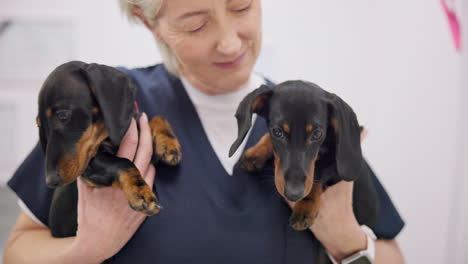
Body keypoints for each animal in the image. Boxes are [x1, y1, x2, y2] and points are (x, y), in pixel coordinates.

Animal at [37, 61, 181, 237]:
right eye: (39, 124)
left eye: (63, 115)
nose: (51, 181)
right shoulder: (89, 171)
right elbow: (122, 162)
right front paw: (140, 192)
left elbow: (157, 117)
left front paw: (168, 145)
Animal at [229, 80, 378, 231]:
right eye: (277, 132)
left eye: (317, 134)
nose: (293, 194)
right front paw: (256, 153)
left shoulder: (336, 168)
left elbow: (320, 172)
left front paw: (305, 206)